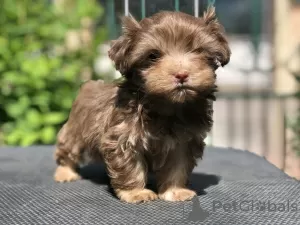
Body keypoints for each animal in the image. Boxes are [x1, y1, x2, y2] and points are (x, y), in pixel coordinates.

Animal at [54, 7, 231, 204]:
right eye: (153, 56)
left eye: (199, 51)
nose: (181, 74)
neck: (167, 106)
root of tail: (89, 85)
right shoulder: (123, 137)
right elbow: (130, 166)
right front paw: (136, 192)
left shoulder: (183, 142)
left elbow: (177, 166)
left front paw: (175, 190)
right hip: (76, 132)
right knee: (67, 151)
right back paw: (65, 172)